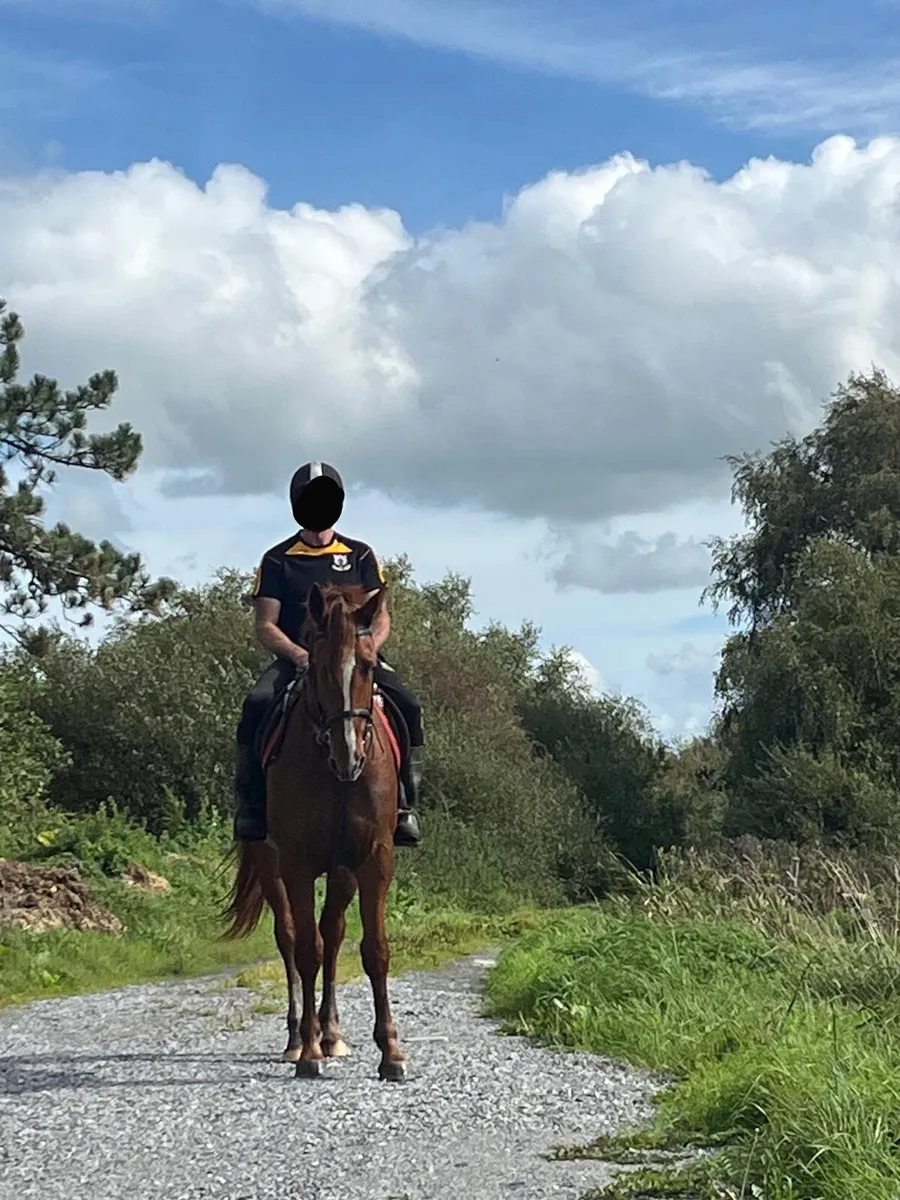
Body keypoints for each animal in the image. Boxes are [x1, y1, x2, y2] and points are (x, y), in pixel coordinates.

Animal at [221, 581, 408, 1081]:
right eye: (320, 666)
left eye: (367, 665)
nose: (350, 754)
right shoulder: (298, 863)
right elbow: (306, 948)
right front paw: (307, 1053)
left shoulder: (374, 858)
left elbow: (373, 949)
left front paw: (391, 1053)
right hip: (271, 866)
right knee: (290, 937)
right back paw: (297, 1038)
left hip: (341, 871)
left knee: (334, 933)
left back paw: (332, 1033)